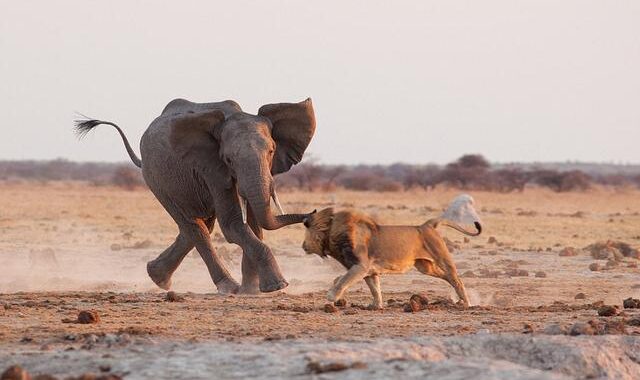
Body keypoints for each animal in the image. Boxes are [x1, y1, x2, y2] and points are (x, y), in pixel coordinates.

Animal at [76, 97, 316, 294]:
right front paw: (276, 286)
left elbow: (254, 223)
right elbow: (233, 225)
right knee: (195, 227)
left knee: (199, 225)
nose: (312, 213)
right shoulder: (212, 169)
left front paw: (253, 291)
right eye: (228, 159)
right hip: (157, 180)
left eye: (272, 151)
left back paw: (157, 277)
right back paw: (227, 287)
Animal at [302, 194, 482, 308]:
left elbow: (343, 280)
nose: (303, 246)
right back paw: (460, 301)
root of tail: (427, 225)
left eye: (307, 233)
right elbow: (375, 289)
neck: (334, 235)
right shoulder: (369, 271)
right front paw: (376, 306)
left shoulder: (360, 266)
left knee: (457, 280)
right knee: (448, 278)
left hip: (443, 259)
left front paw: (331, 296)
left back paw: (467, 303)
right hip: (425, 267)